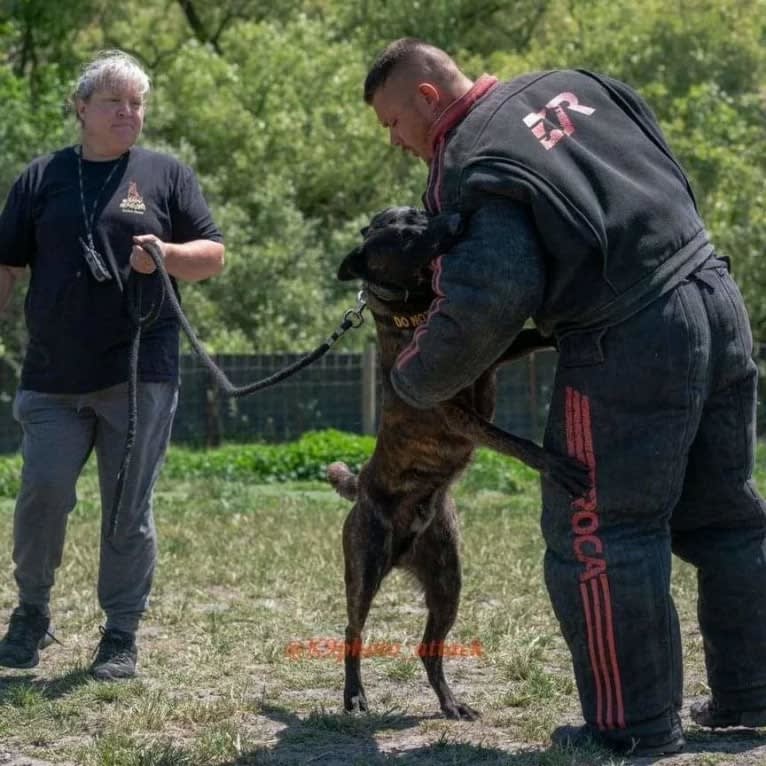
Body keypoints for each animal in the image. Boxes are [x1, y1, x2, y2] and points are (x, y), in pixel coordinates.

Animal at [328, 207, 588, 724]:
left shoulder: (491, 354)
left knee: (429, 648)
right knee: (353, 632)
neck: (415, 311)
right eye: (407, 241)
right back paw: (355, 696)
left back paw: (450, 702)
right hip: (365, 572)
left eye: (416, 214)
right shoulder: (458, 414)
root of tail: (361, 485)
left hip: (448, 583)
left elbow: (529, 337)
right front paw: (552, 463)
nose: (453, 216)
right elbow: (515, 441)